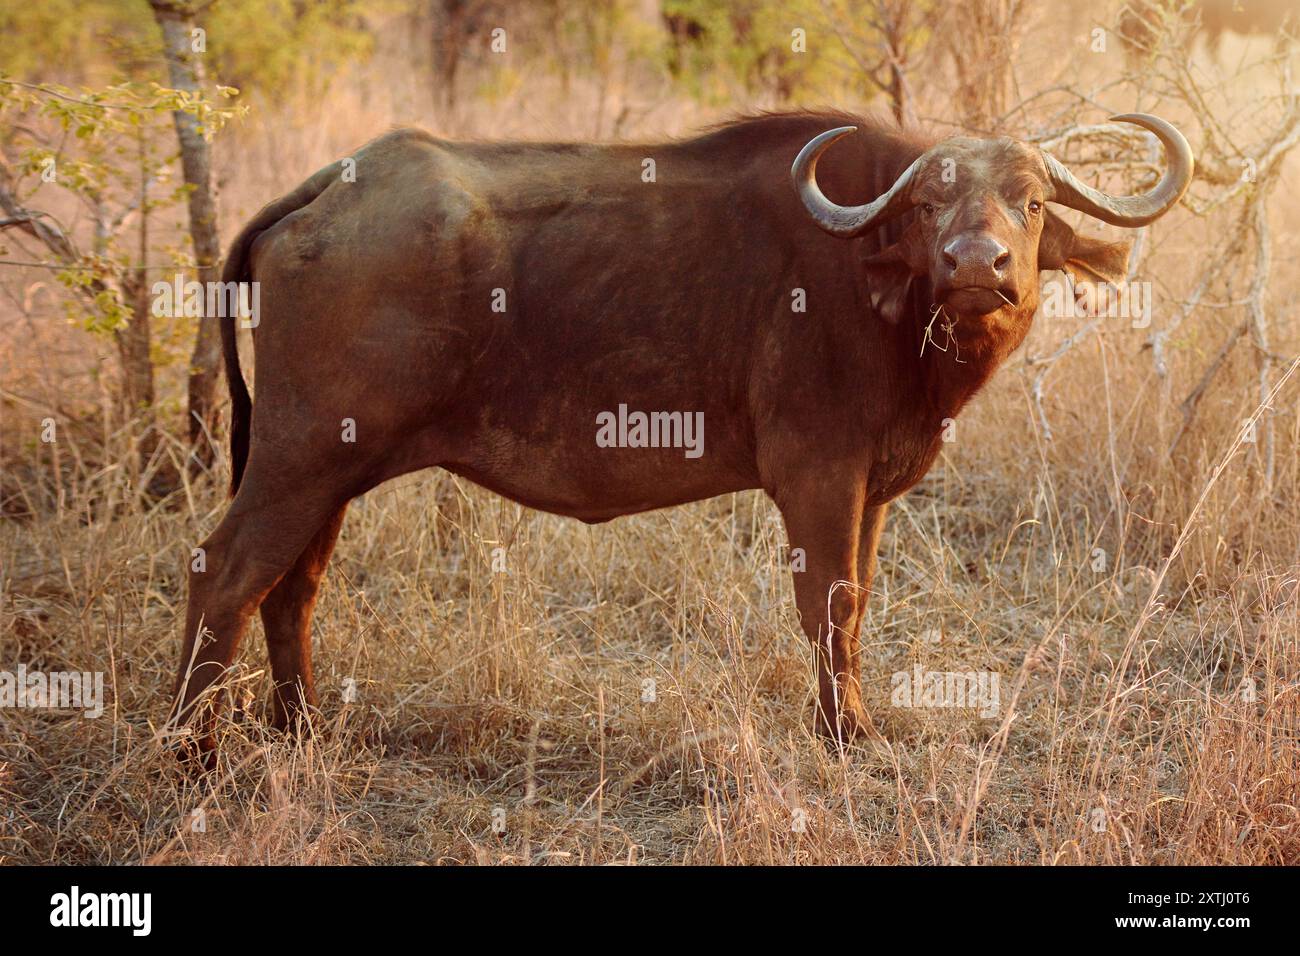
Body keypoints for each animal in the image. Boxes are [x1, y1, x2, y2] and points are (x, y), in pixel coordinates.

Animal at [167, 110, 1190, 764]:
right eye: (931, 204)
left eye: (1030, 202)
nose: (978, 265)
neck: (879, 291)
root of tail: (328, 191)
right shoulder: (818, 477)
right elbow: (829, 605)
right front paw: (844, 734)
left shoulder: (871, 492)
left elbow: (856, 606)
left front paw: (851, 722)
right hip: (300, 458)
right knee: (224, 572)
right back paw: (193, 748)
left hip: (331, 470)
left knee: (291, 586)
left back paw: (300, 728)